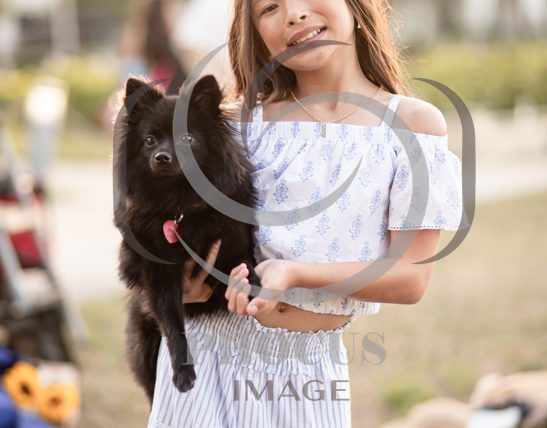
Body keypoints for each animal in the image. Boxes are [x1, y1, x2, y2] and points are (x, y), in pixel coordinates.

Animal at [113, 75, 262, 402]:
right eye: (149, 140)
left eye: (187, 139)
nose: (162, 157)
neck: (180, 204)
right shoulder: (159, 274)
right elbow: (172, 321)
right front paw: (183, 372)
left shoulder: (232, 247)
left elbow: (246, 267)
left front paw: (255, 288)